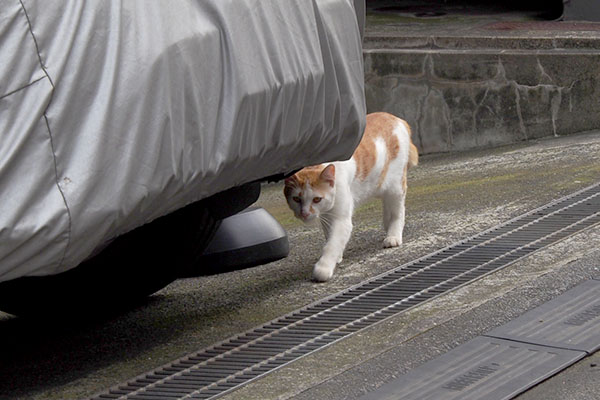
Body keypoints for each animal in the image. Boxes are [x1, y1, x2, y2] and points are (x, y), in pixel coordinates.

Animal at [284, 111, 418, 282]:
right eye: (296, 199)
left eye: (316, 199)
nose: (304, 213)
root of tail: (395, 118)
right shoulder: (327, 215)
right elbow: (330, 236)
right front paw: (337, 256)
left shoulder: (341, 219)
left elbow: (333, 243)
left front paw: (323, 268)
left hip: (395, 184)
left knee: (398, 211)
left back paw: (393, 235)